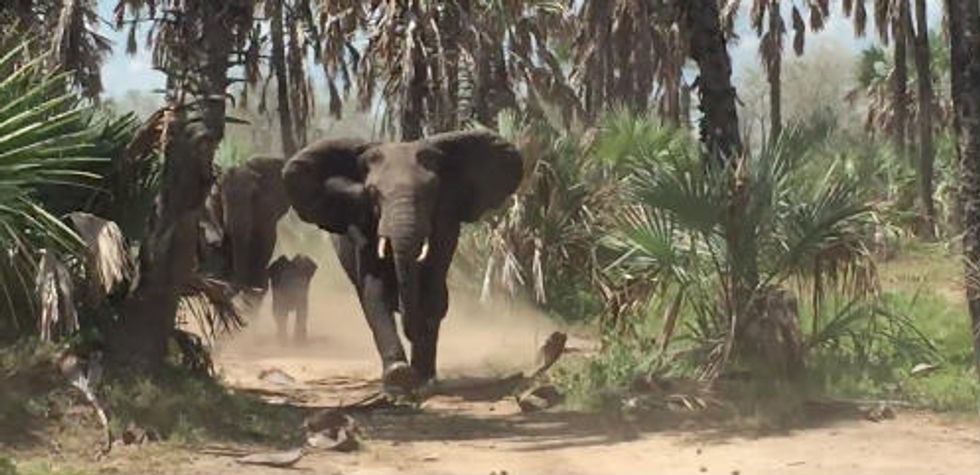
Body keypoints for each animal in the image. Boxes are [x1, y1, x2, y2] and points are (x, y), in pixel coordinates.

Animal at [282, 130, 523, 391]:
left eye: (431, 191)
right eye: (372, 193)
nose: (412, 329)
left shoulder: (446, 224)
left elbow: (432, 292)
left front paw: (423, 378)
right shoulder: (362, 226)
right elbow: (374, 293)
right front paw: (399, 375)